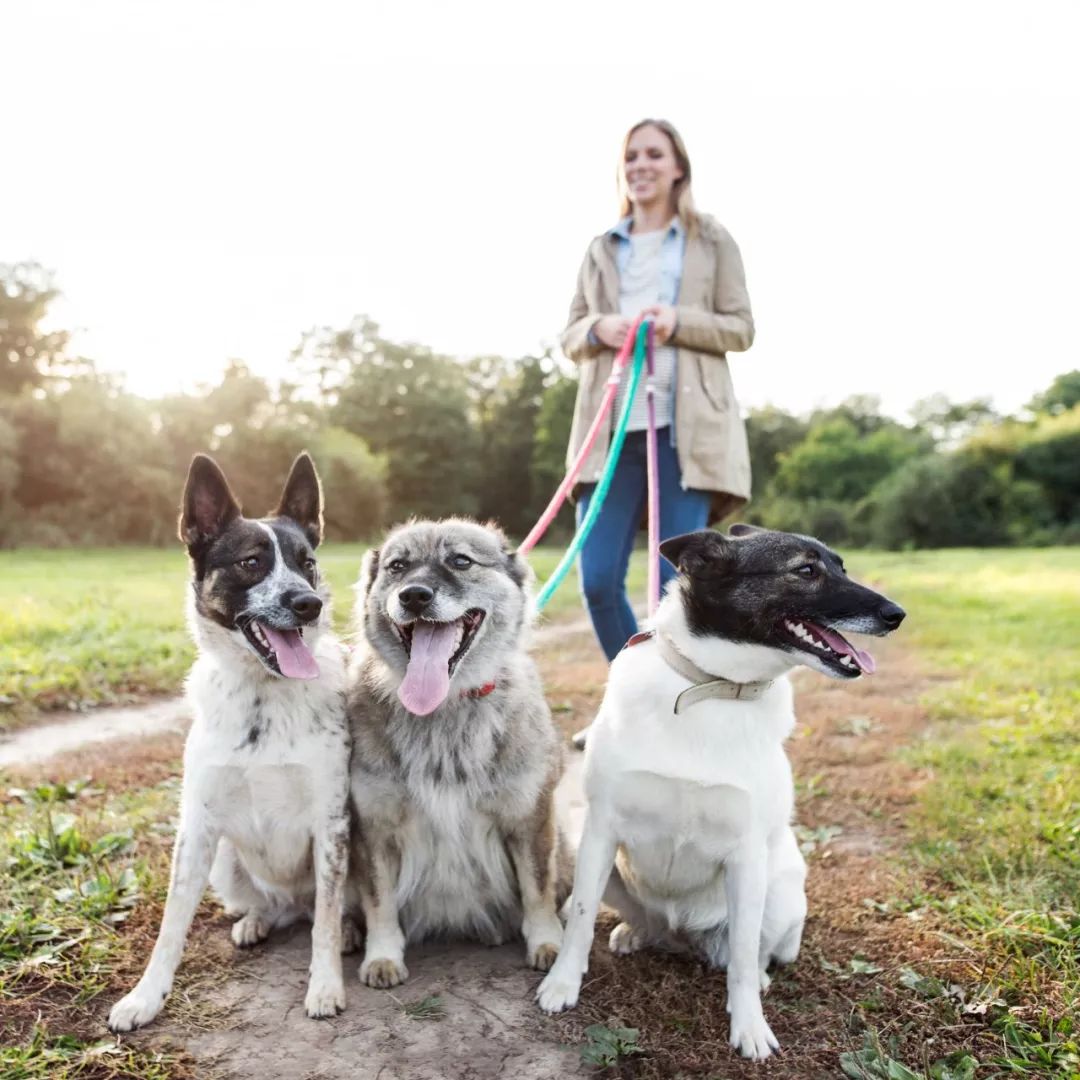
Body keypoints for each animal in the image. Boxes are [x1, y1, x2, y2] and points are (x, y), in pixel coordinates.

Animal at [108, 451, 349, 1032]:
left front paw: (325, 985)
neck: (263, 696)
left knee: (319, 914)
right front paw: (145, 997)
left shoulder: (331, 823)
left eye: (307, 562)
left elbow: (327, 922)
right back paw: (256, 920)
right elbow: (171, 925)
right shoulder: (197, 828)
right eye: (250, 562)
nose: (308, 603)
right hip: (225, 862)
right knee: (274, 908)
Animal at [537, 527, 902, 1058]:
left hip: (780, 889)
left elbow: (746, 957)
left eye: (842, 567)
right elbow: (581, 919)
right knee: (643, 922)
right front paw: (563, 984)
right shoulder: (601, 831)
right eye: (805, 570)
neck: (712, 687)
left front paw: (749, 1026)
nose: (897, 614)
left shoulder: (746, 857)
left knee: (755, 952)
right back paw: (634, 932)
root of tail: (682, 934)